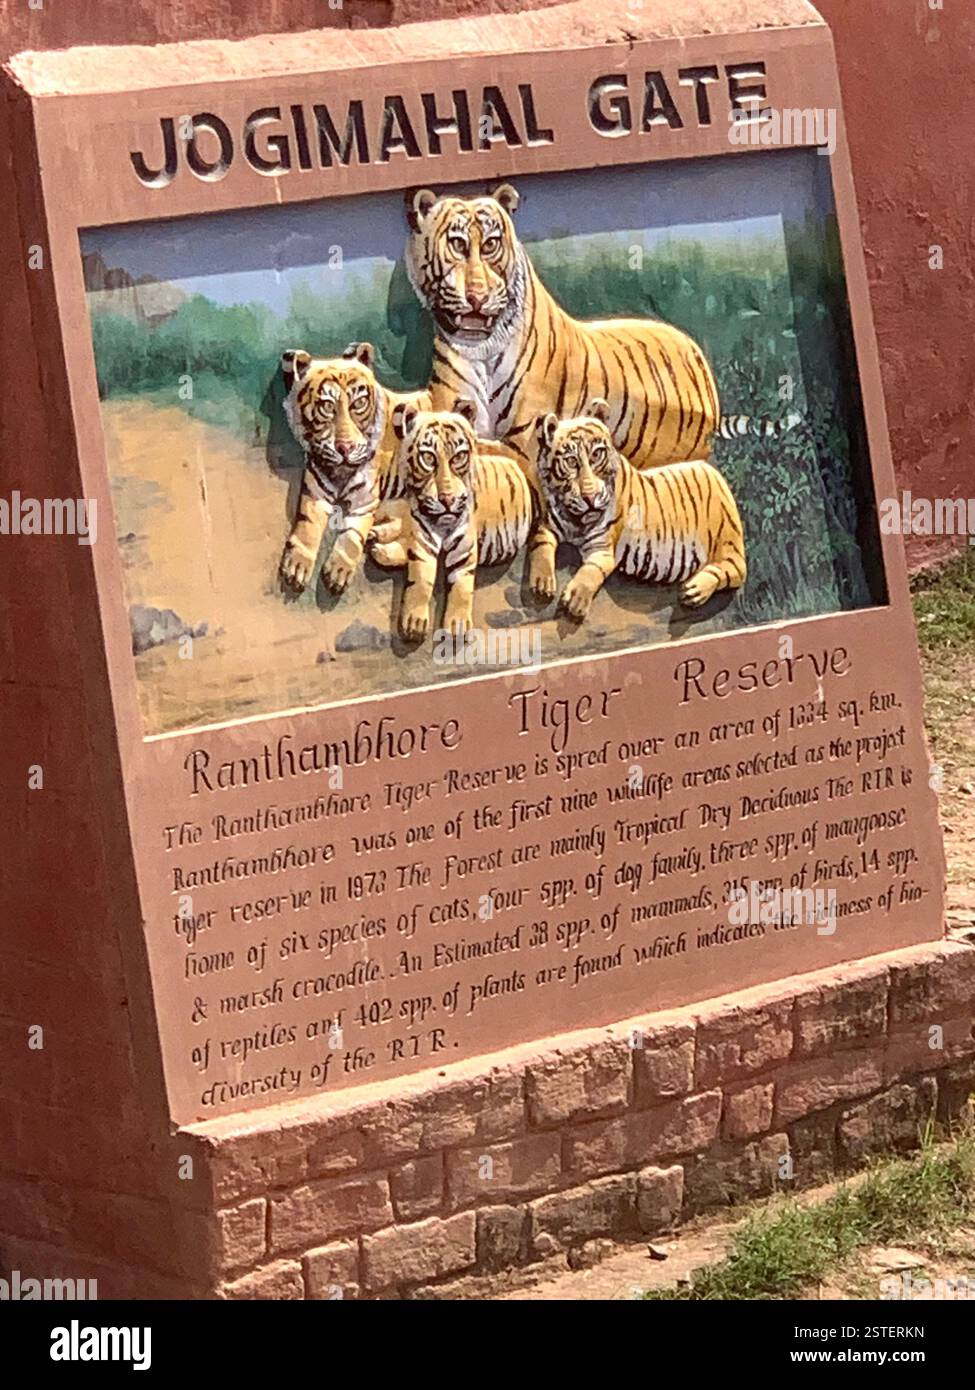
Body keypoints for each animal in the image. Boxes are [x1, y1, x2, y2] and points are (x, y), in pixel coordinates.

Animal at [279, 342, 427, 595]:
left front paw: (339, 569)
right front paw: (297, 565)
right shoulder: (315, 491)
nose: (345, 448)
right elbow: (308, 525)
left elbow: (352, 535)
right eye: (327, 406)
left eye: (358, 403)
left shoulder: (365, 501)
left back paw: (383, 552)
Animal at [369, 400, 533, 642]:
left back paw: (380, 547)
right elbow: (421, 578)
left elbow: (462, 586)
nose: (446, 499)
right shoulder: (422, 537)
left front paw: (457, 624)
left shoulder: (464, 546)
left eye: (459, 457)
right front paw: (414, 622)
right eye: (428, 458)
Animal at [404, 182, 721, 599]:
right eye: (457, 244)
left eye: (490, 244)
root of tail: (695, 348)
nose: (477, 296)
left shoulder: (527, 440)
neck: (479, 349)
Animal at [536, 400, 746, 621]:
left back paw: (694, 590)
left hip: (726, 538)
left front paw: (575, 602)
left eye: (596, 454)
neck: (574, 518)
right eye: (571, 461)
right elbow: (540, 543)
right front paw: (542, 583)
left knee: (736, 569)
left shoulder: (602, 547)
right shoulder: (550, 524)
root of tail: (716, 474)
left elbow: (591, 570)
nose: (590, 498)